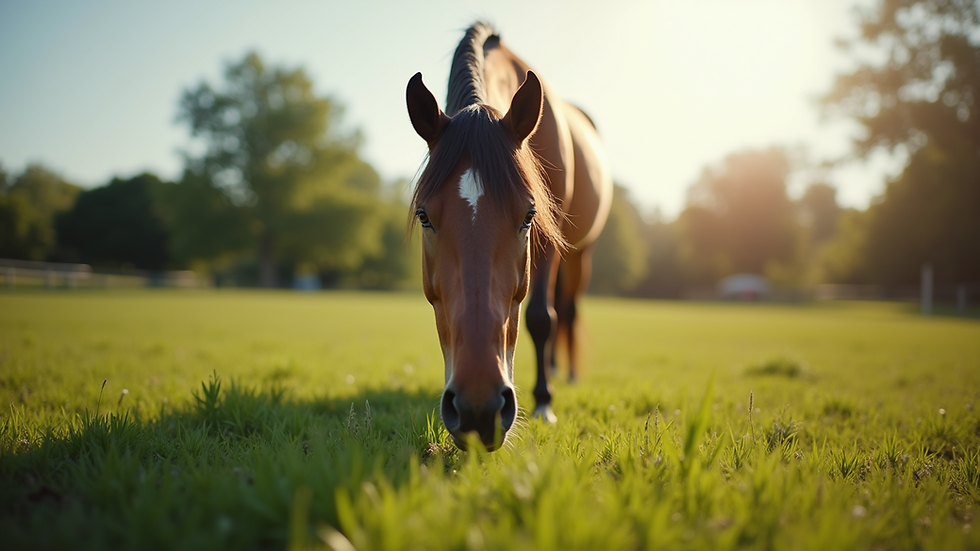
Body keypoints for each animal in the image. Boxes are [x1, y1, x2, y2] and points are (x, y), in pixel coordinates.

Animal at [406, 22, 612, 450]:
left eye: (529, 215)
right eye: (424, 216)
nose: (477, 409)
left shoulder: (548, 243)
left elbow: (541, 317)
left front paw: (544, 402)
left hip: (580, 252)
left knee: (567, 310)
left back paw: (563, 377)